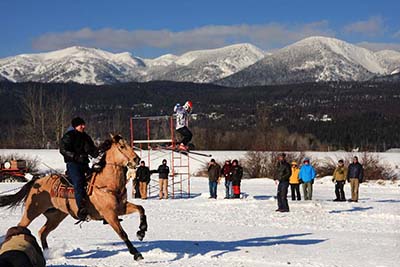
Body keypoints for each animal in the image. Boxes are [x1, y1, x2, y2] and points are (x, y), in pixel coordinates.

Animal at [0, 135, 147, 260]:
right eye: (122, 146)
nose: (136, 160)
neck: (107, 183)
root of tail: (36, 181)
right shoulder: (109, 214)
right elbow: (122, 233)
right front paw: (136, 253)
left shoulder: (121, 208)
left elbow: (140, 208)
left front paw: (142, 231)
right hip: (31, 212)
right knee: (21, 226)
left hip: (56, 216)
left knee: (43, 232)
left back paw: (47, 253)